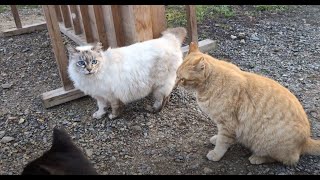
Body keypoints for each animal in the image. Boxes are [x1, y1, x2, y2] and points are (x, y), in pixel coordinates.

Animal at [176, 41, 318, 165]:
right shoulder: (223, 124)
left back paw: (258, 158)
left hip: (268, 143)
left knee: (286, 159)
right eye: (176, 74)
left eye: (182, 79)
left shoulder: (227, 124)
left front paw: (216, 153)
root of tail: (306, 140)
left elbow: (223, 142)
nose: (175, 84)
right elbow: (221, 137)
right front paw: (216, 139)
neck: (208, 84)